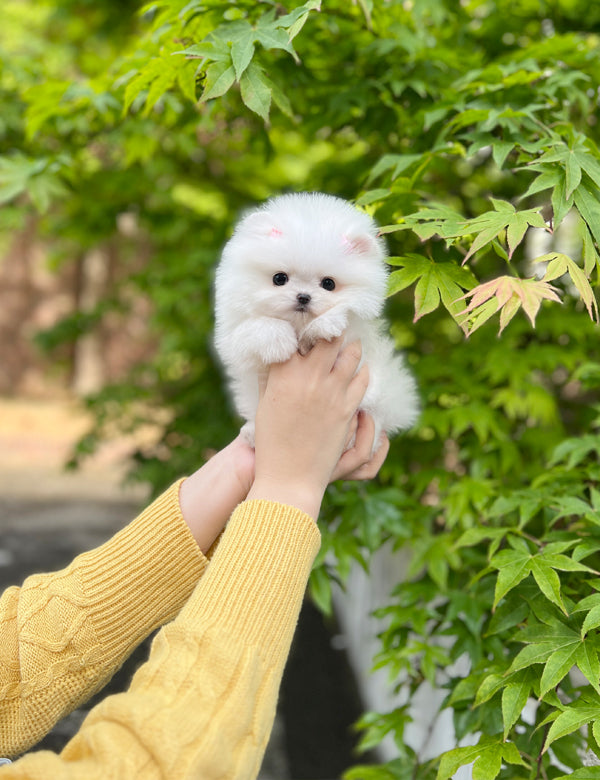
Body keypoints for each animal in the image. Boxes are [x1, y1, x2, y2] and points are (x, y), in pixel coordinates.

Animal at [214, 192, 418, 450]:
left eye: (328, 284)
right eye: (279, 278)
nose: (303, 296)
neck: (298, 325)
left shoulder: (357, 343)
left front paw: (325, 324)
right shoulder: (234, 336)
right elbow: (255, 327)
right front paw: (279, 342)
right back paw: (252, 432)